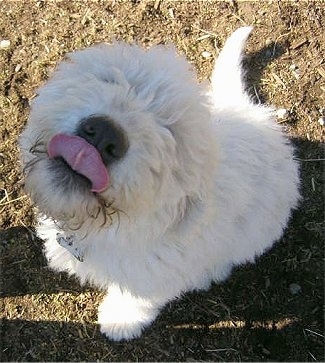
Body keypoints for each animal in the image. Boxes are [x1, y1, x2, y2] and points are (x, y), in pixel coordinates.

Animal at [19, 27, 298, 342]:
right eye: (107, 78)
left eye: (170, 131)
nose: (104, 134)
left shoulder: (153, 278)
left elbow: (134, 300)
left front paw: (119, 321)